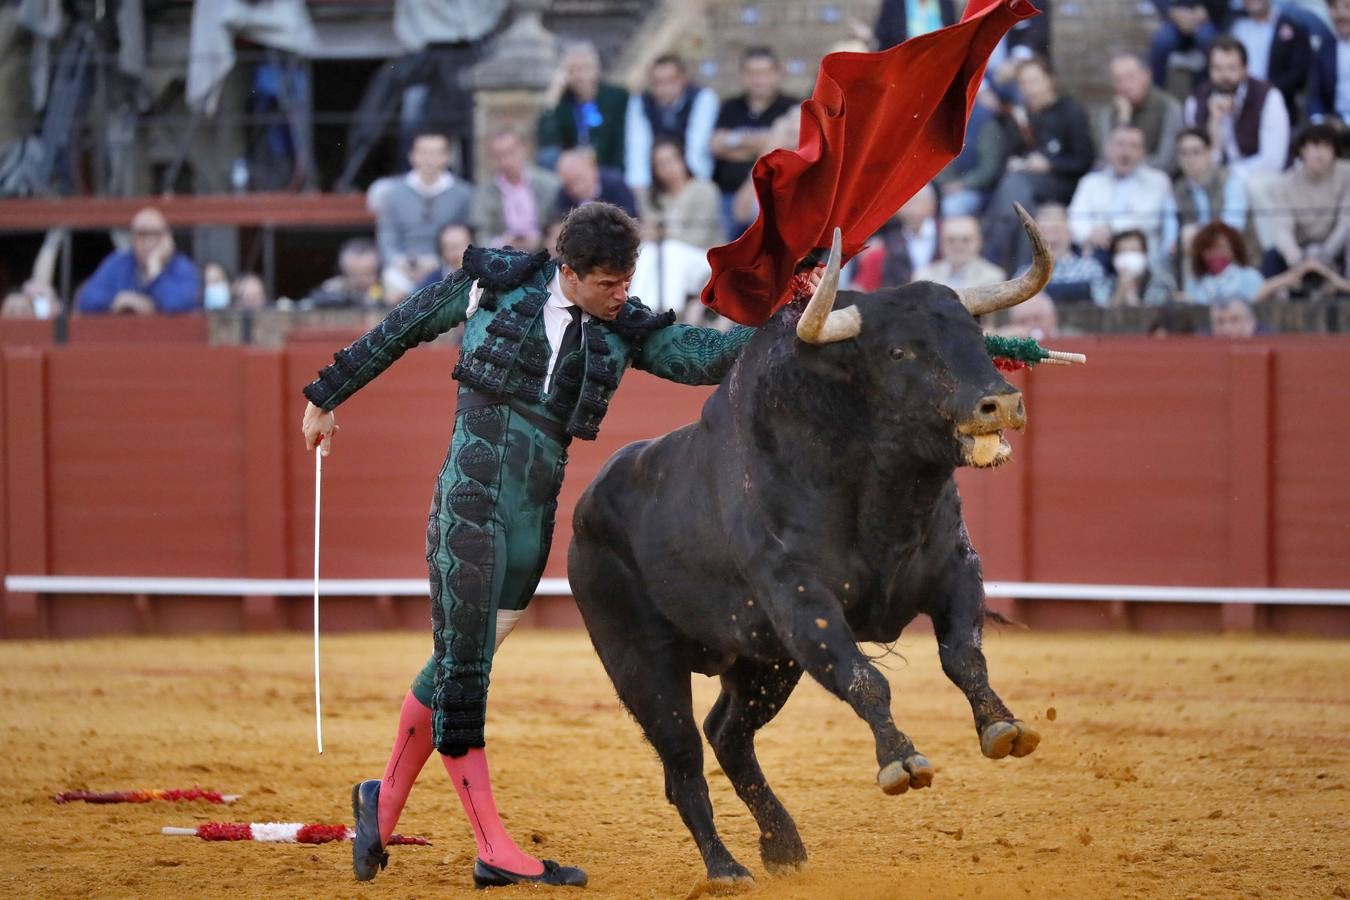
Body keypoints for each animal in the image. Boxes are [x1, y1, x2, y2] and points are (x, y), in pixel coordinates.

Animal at [564, 206, 1058, 885]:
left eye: (976, 336)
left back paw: (784, 846)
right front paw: (903, 762)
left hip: (763, 662)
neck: (883, 494)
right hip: (640, 661)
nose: (1001, 403)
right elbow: (863, 679)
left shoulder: (956, 571)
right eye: (898, 351)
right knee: (683, 761)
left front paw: (1003, 726)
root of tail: (584, 510)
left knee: (727, 735)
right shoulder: (801, 601)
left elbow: (964, 655)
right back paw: (726, 869)